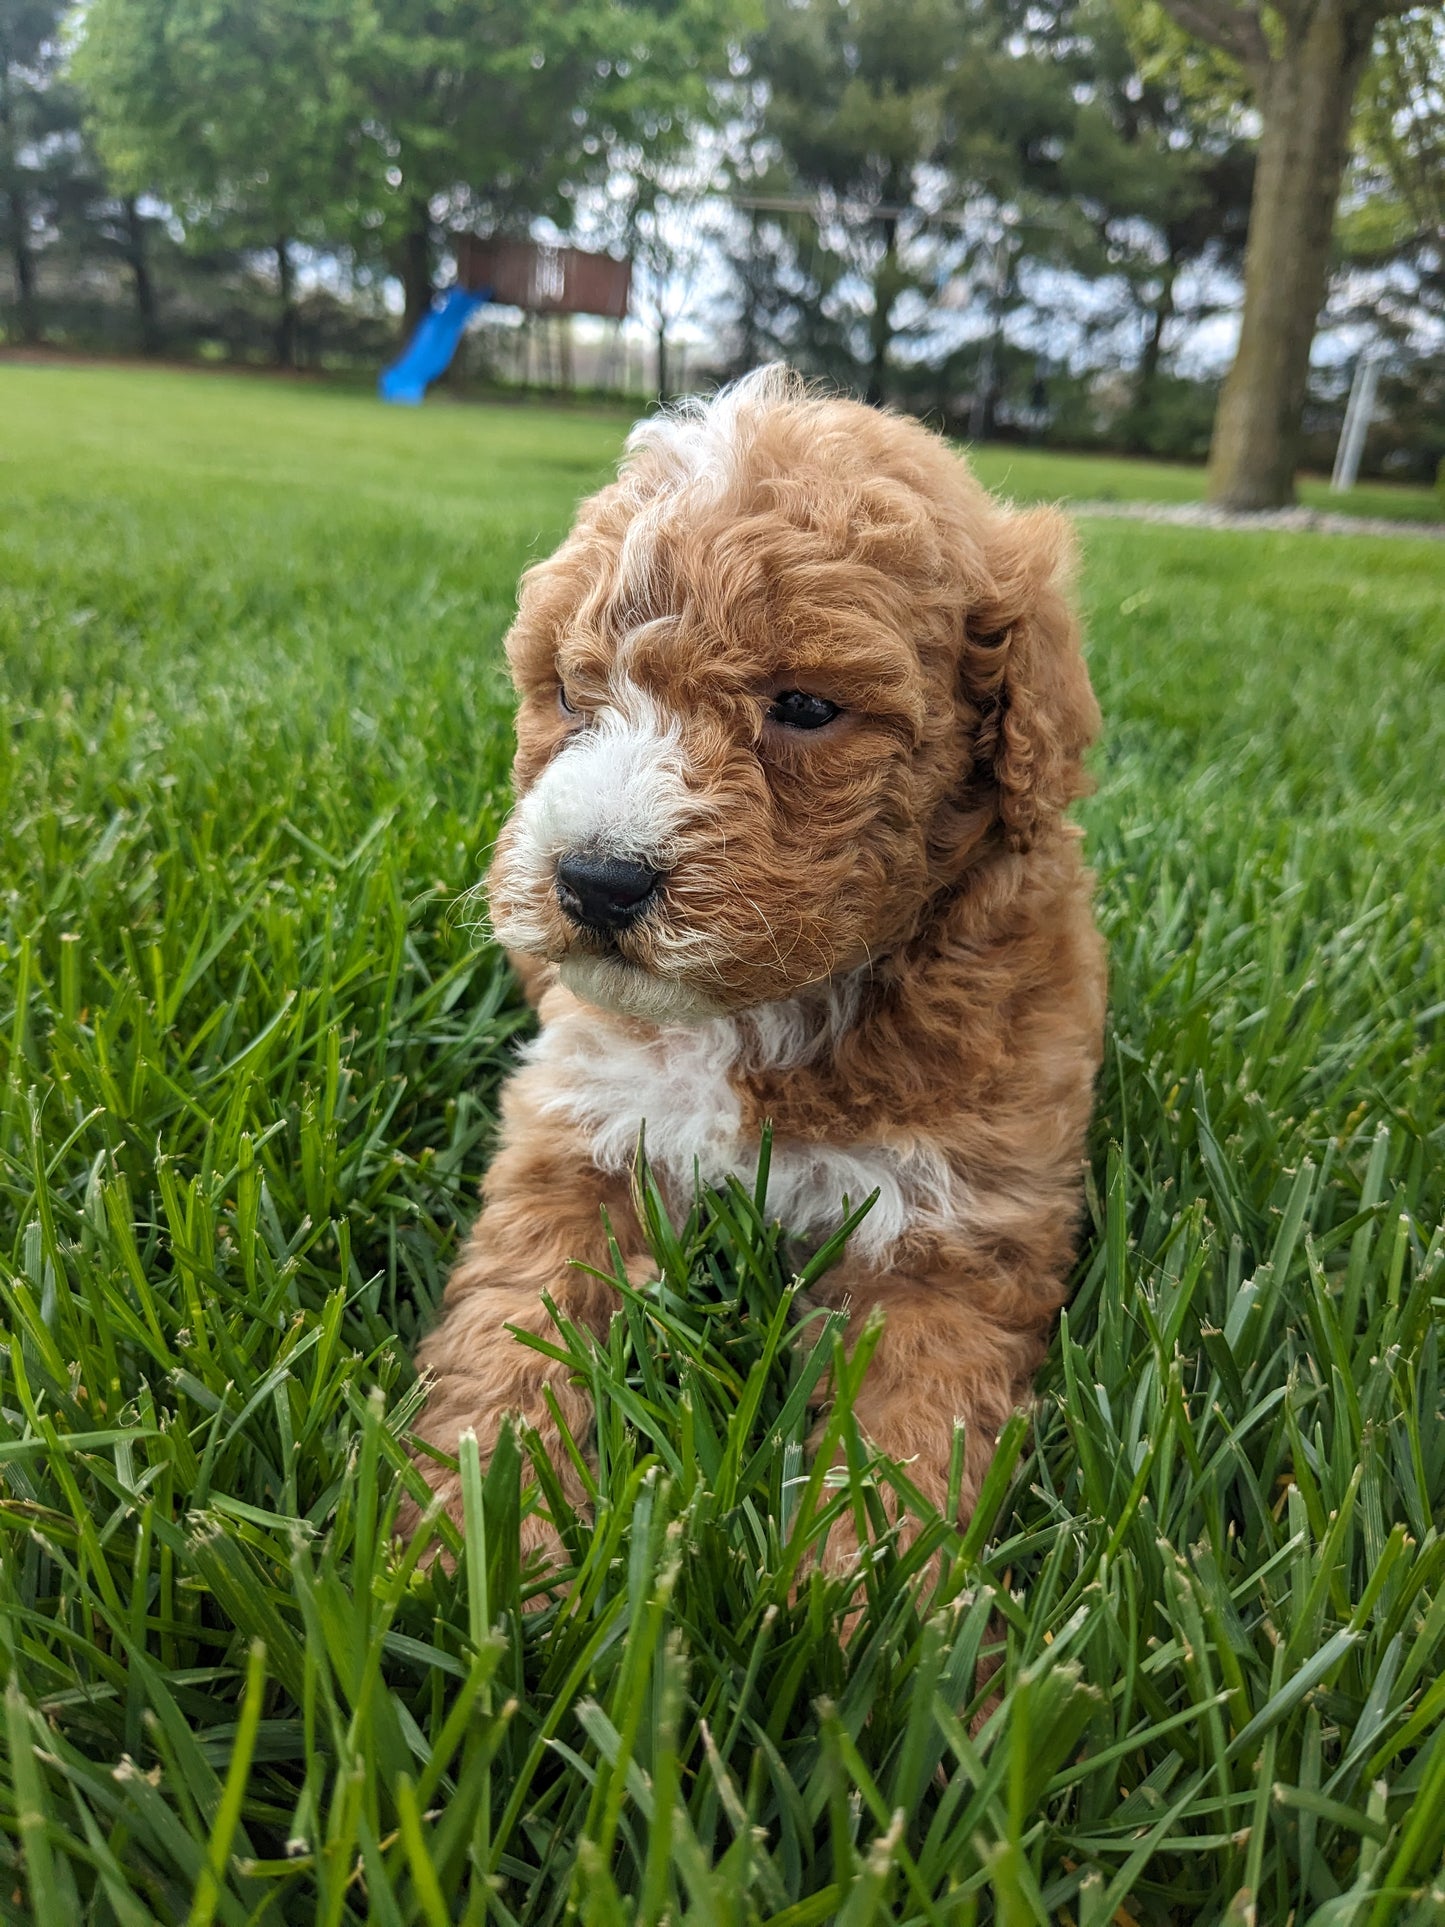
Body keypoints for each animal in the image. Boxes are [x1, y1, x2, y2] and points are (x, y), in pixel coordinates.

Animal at [408, 368, 1109, 1572]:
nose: (594, 880)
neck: (757, 1021)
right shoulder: (576, 1133)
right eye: (570, 693)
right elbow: (516, 1328)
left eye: (806, 707)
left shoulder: (958, 1227)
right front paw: (473, 1542)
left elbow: (912, 1431)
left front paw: (862, 1601)